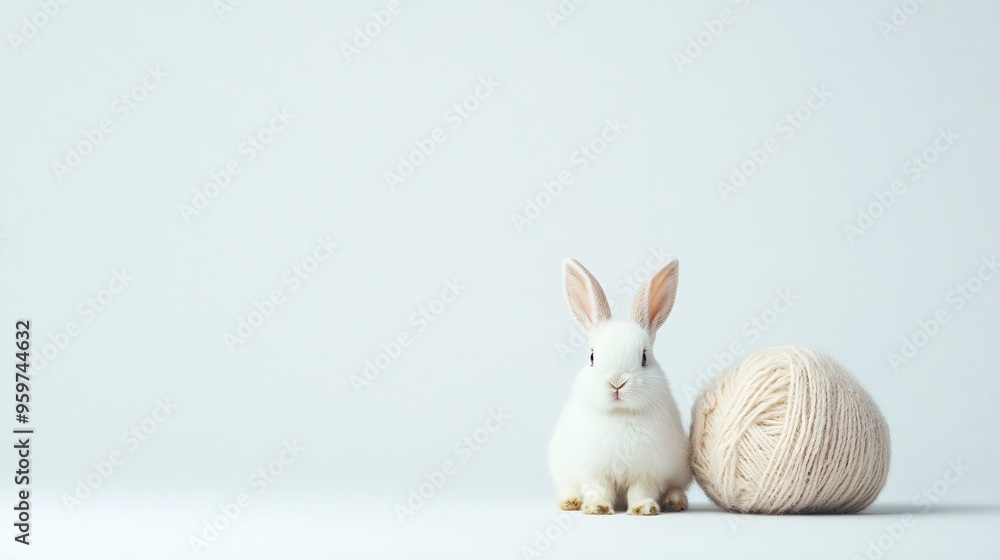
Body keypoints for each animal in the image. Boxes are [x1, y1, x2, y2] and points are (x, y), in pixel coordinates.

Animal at [548, 257, 692, 515]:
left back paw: (674, 501)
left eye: (644, 357)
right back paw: (571, 502)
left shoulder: (648, 471)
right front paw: (597, 508)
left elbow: (641, 489)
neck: (620, 414)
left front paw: (644, 509)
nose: (617, 382)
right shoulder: (595, 470)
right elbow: (599, 488)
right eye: (592, 357)